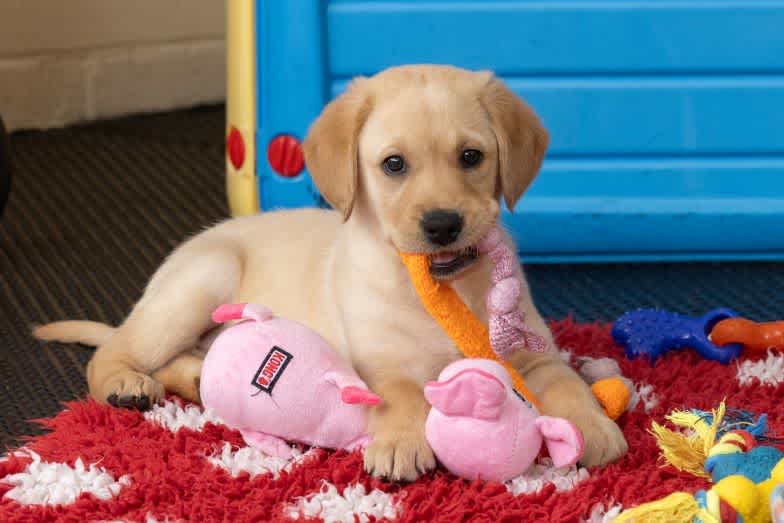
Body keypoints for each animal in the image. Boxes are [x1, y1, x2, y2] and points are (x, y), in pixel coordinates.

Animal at [35, 66, 624, 484]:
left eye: (471, 156)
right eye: (393, 165)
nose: (442, 224)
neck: (440, 290)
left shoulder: (532, 356)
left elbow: (566, 381)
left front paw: (595, 426)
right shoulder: (379, 363)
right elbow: (401, 394)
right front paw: (400, 444)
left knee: (184, 359)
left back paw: (198, 380)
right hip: (201, 281)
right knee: (114, 351)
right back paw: (126, 384)